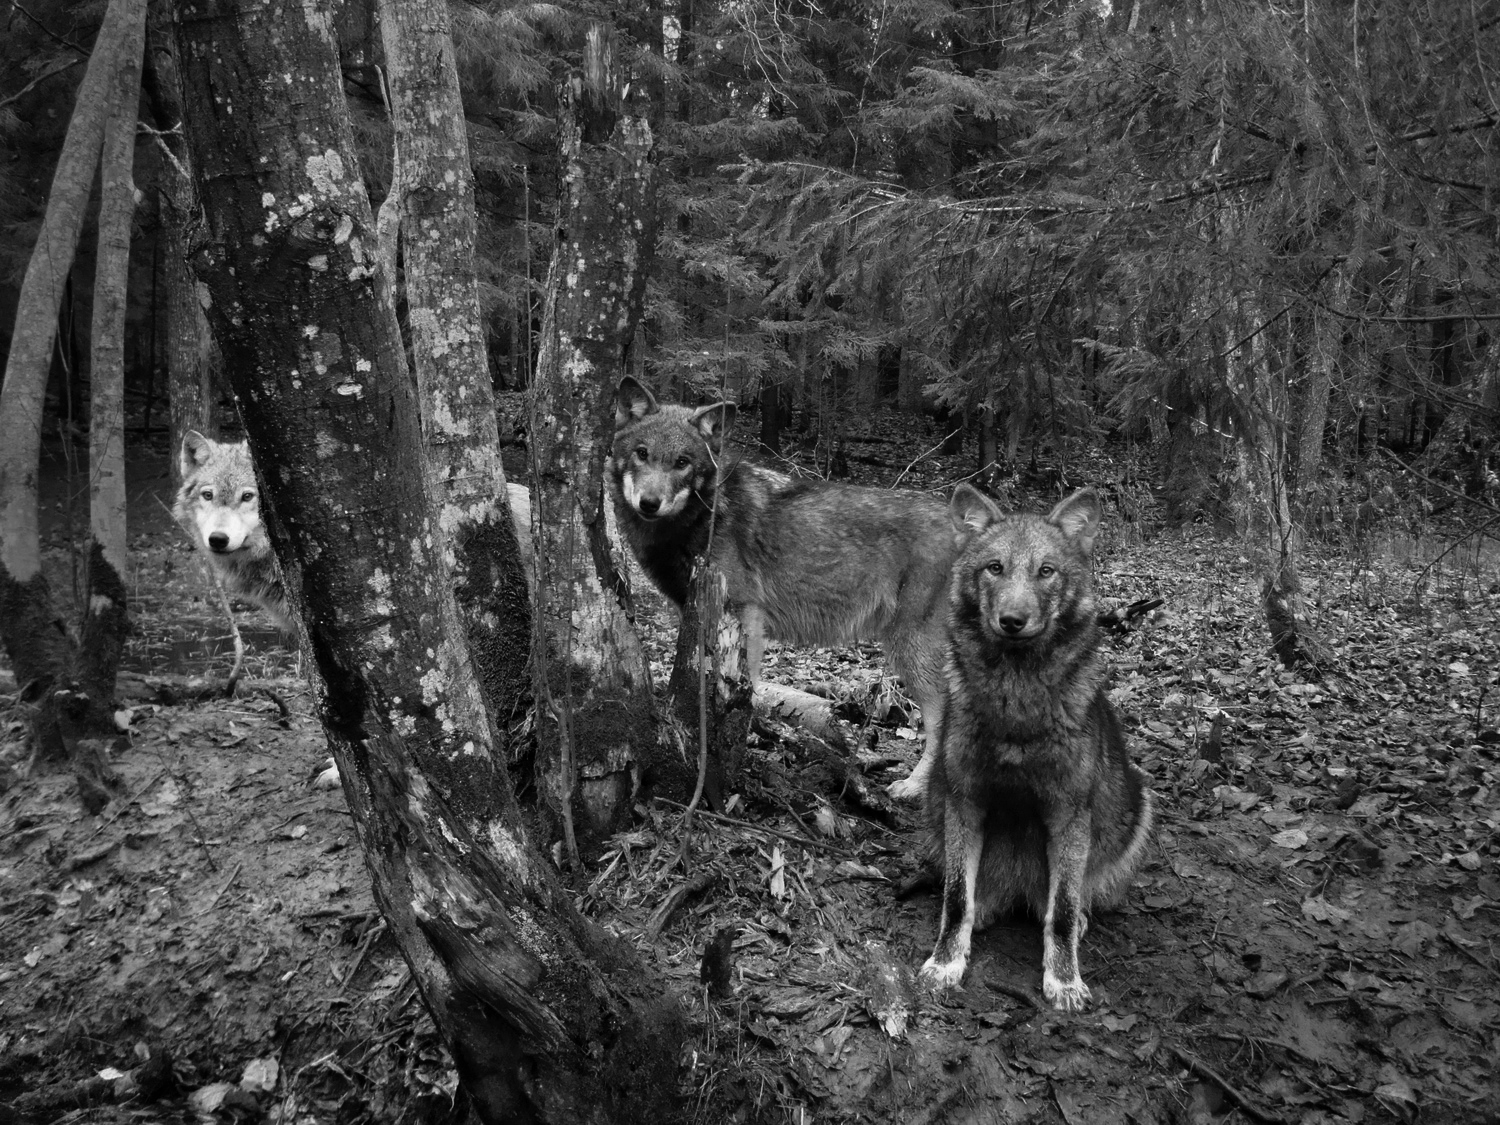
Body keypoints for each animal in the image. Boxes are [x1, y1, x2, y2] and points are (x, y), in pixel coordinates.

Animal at [608, 376, 958, 794]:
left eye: (682, 462)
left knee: (942, 721)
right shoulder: (693, 611)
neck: (698, 518)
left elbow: (744, 692)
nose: (649, 502)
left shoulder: (745, 615)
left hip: (910, 649)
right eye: (642, 453)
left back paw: (914, 787)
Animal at [918, 485, 1153, 1011]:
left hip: (1136, 805)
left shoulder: (1068, 812)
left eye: (1046, 571)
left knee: (1074, 896)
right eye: (995, 568)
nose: (1012, 620)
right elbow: (956, 899)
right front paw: (946, 963)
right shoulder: (964, 800)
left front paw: (1063, 981)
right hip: (935, 801)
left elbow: (1060, 911)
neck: (1016, 698)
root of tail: (1020, 893)